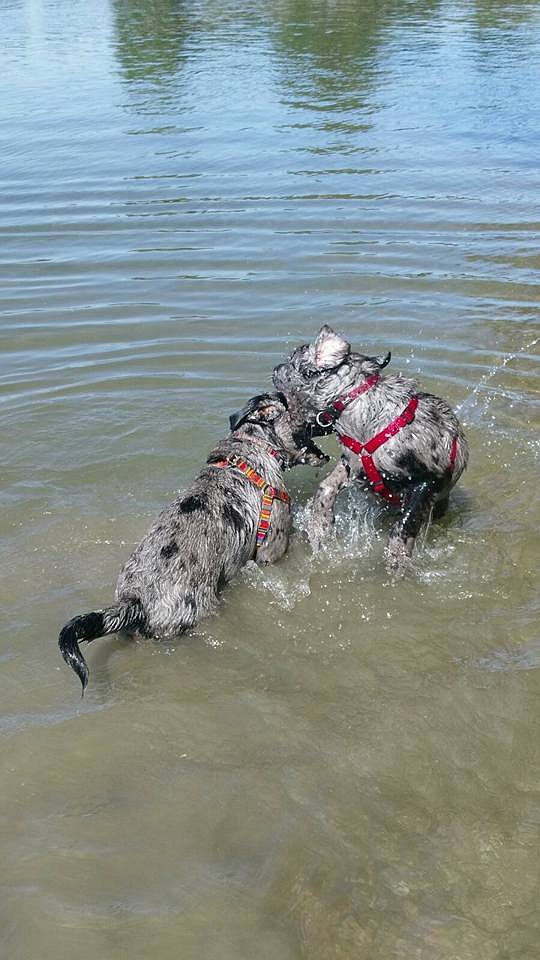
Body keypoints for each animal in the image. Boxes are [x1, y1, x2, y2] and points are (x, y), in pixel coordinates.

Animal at [274, 326, 468, 572]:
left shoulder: (426, 480)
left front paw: (397, 558)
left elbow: (405, 523)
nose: (275, 369)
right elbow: (327, 487)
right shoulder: (353, 462)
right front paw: (320, 523)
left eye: (291, 360)